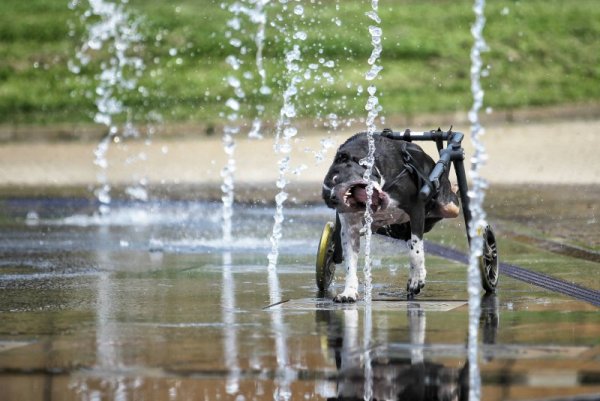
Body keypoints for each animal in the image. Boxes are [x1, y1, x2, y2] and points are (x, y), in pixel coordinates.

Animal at [324, 131, 460, 300]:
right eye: (326, 198)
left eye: (336, 179)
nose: (333, 198)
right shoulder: (349, 228)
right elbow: (350, 262)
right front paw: (348, 292)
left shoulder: (416, 210)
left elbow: (416, 252)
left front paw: (417, 280)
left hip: (448, 206)